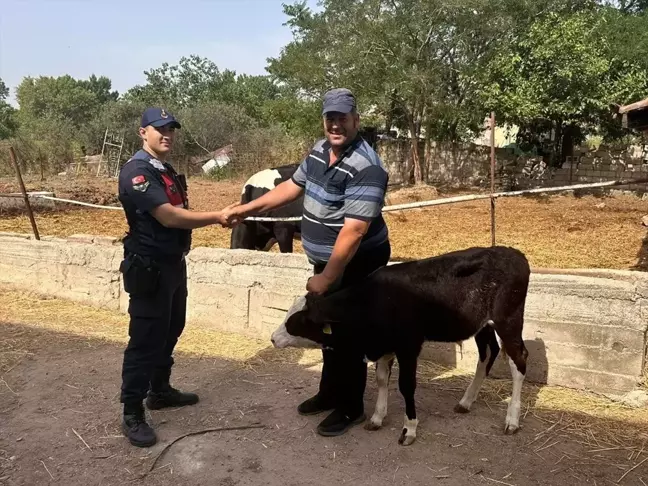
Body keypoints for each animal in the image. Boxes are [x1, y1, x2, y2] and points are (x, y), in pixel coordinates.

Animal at [272, 247, 532, 444]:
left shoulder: (408, 346)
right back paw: (466, 401)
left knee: (518, 361)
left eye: (298, 321)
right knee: (488, 353)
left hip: (508, 320)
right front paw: (377, 418)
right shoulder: (384, 345)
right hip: (482, 325)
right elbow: (381, 380)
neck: (374, 301)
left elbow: (406, 386)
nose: (273, 338)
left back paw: (512, 420)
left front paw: (409, 429)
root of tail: (514, 253)